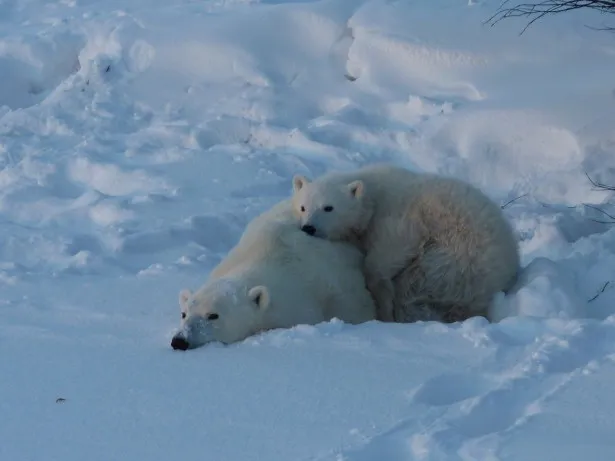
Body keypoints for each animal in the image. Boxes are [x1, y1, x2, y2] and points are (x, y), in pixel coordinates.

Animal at [292, 164, 524, 322]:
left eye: (328, 207)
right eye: (303, 207)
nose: (309, 228)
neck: (372, 194)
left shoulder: (398, 218)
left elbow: (390, 252)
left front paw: (383, 300)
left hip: (456, 258)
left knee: (414, 283)